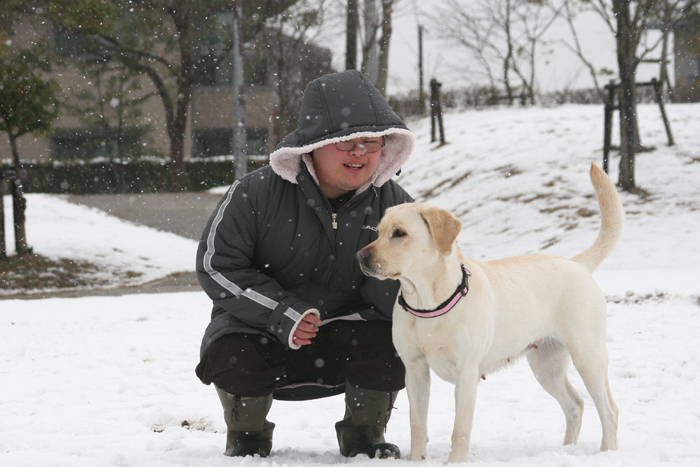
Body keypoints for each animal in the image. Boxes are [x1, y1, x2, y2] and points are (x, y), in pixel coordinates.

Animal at [358, 165, 620, 464]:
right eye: (378, 232)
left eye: (400, 233)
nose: (360, 256)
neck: (428, 304)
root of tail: (578, 263)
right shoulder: (415, 371)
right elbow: (418, 425)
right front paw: (417, 461)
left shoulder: (466, 373)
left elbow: (460, 428)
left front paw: (455, 462)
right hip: (546, 366)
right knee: (575, 404)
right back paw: (566, 450)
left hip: (588, 356)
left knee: (609, 410)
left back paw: (607, 452)